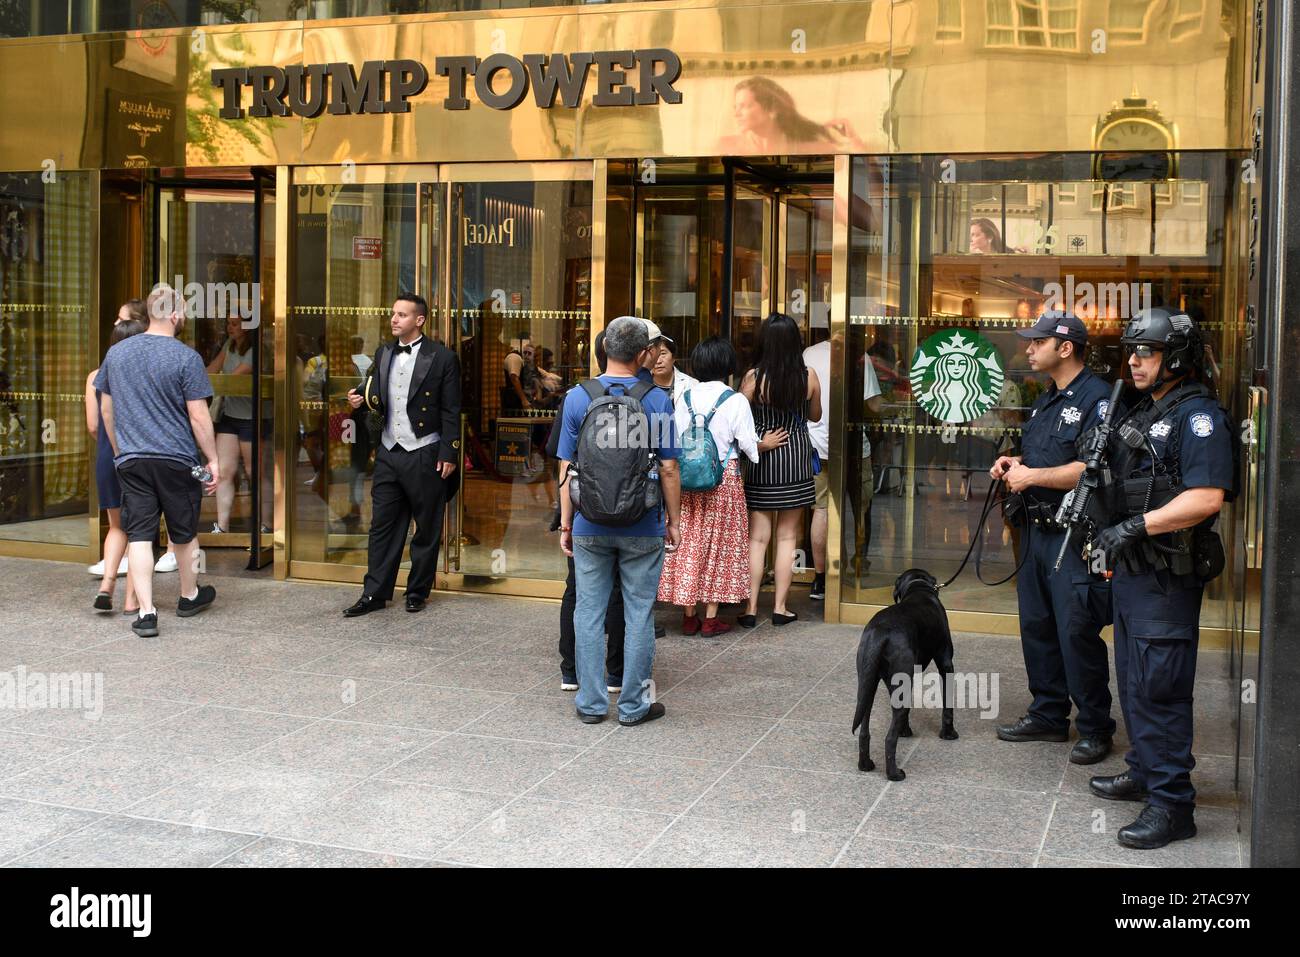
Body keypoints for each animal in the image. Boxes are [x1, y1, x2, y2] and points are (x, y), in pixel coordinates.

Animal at [852, 566, 956, 780]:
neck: (919, 587)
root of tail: (880, 631)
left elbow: (906, 710)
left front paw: (905, 730)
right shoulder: (946, 664)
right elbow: (947, 706)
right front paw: (949, 734)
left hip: (867, 687)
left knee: (864, 731)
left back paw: (865, 764)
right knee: (889, 739)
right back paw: (894, 773)